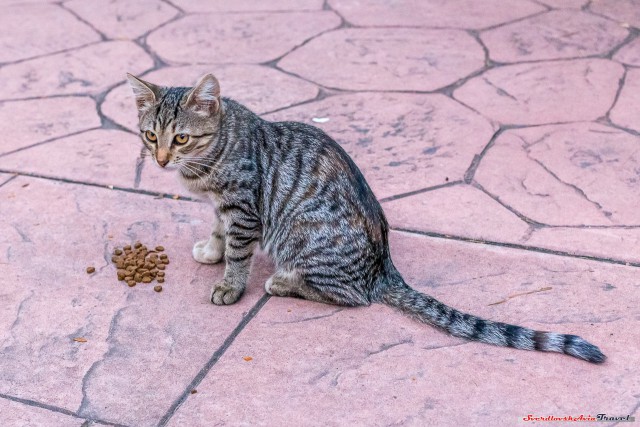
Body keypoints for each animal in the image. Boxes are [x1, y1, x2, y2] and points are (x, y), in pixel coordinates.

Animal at [126, 72, 604, 364]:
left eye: (181, 138)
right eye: (150, 135)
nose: (161, 160)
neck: (213, 156)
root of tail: (384, 268)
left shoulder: (243, 208)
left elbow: (239, 251)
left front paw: (229, 283)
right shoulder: (222, 205)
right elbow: (217, 229)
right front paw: (211, 249)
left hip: (301, 237)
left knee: (349, 296)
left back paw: (284, 282)